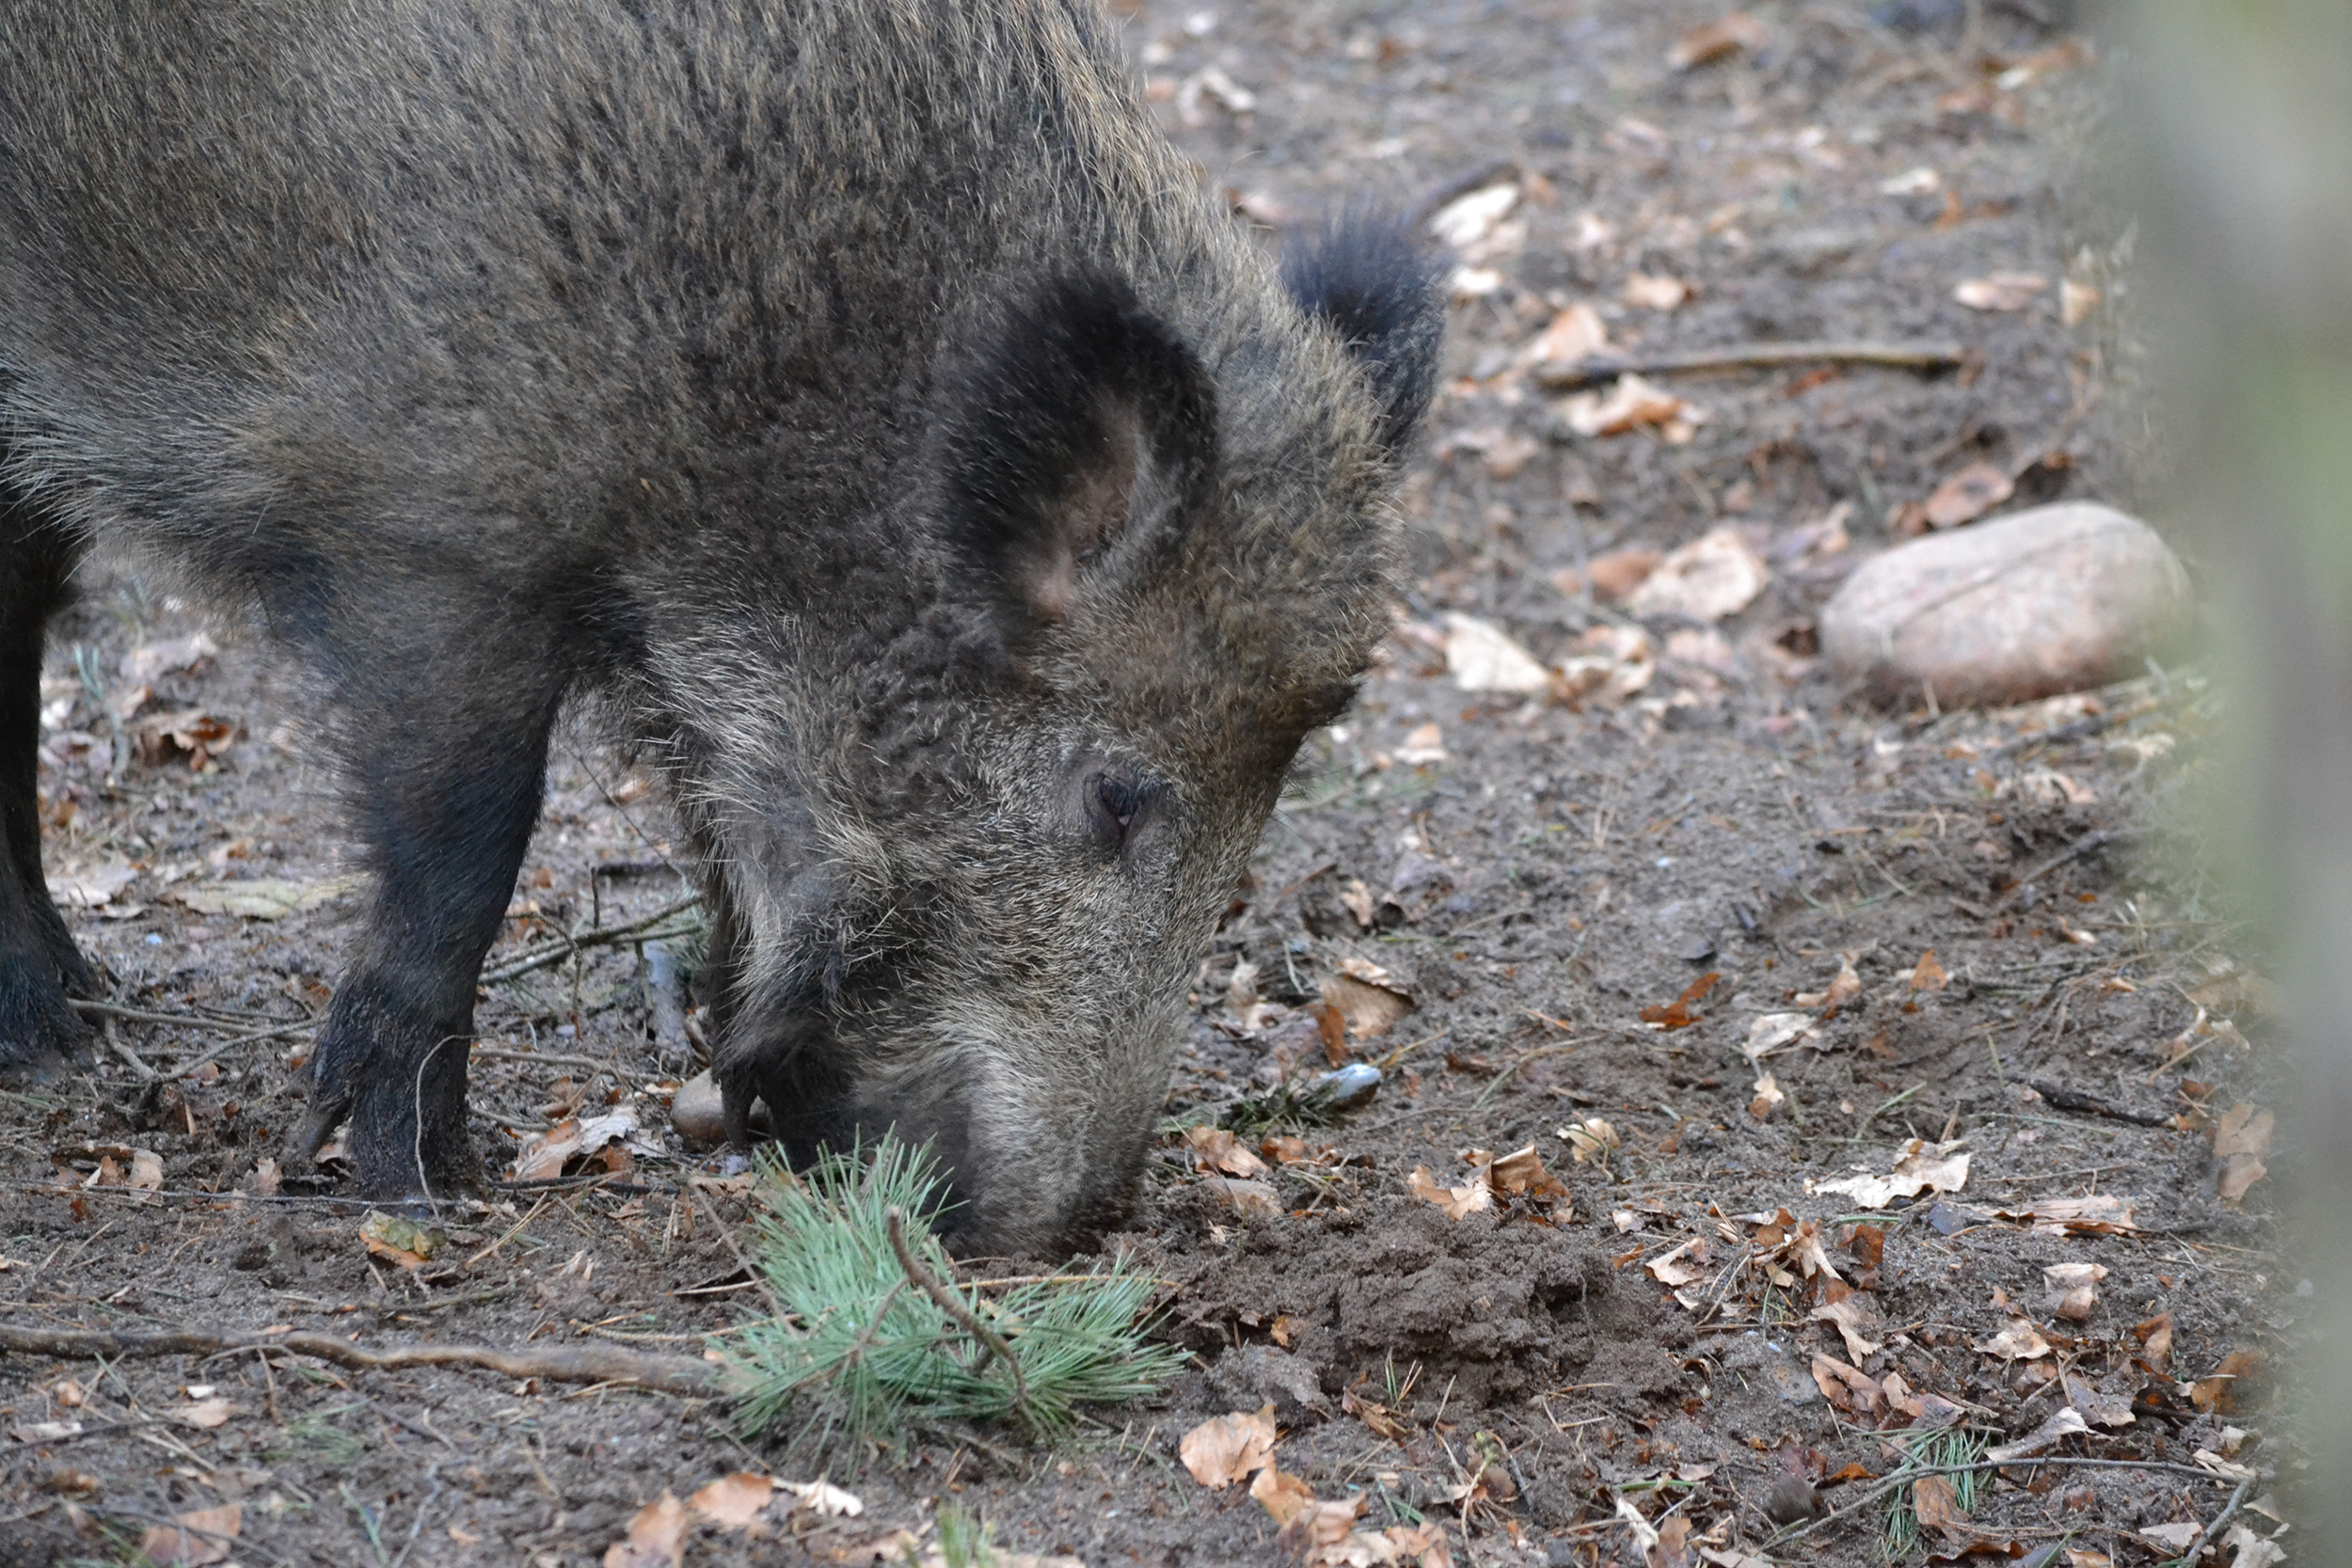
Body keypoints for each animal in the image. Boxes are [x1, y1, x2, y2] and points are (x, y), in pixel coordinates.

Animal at [0, 0, 1442, 1251]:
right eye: (1116, 794)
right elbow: (466, 851)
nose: (1060, 1224)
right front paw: (409, 1184)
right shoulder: (427, 541)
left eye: (1274, 793)